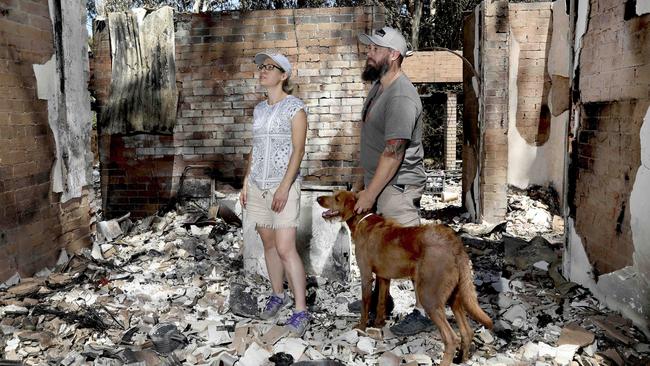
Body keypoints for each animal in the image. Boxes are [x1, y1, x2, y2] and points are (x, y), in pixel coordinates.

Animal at [318, 190, 492, 364]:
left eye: (337, 198)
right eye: (333, 194)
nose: (318, 198)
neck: (362, 220)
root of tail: (455, 244)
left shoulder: (366, 275)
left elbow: (365, 304)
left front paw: (361, 327)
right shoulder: (383, 277)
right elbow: (381, 303)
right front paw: (378, 324)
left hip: (429, 296)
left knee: (451, 338)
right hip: (454, 296)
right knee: (467, 332)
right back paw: (462, 359)